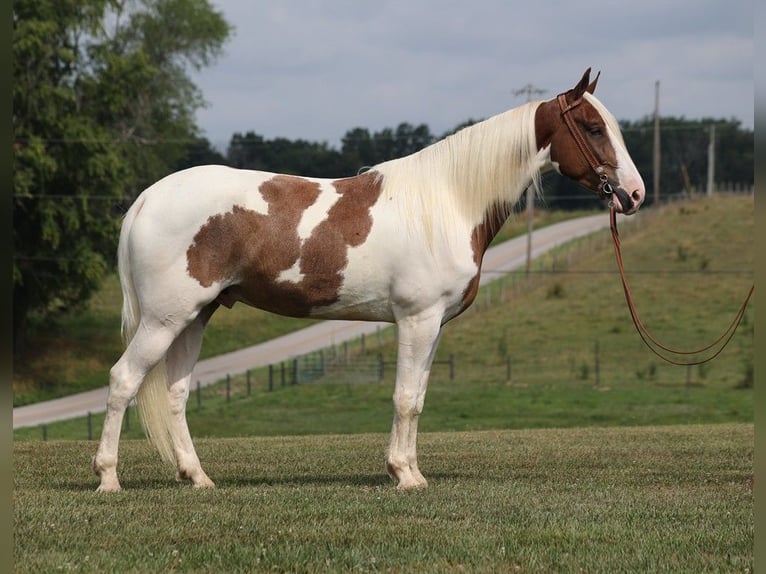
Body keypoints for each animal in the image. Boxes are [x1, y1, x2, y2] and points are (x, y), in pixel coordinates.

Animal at [93, 68, 645, 492]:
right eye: (593, 128)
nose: (635, 194)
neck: (448, 201)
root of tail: (147, 198)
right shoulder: (417, 320)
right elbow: (403, 398)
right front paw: (403, 475)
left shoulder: (433, 326)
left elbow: (417, 399)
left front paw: (411, 471)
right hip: (164, 319)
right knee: (123, 380)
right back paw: (109, 479)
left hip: (194, 317)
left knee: (175, 394)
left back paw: (198, 478)